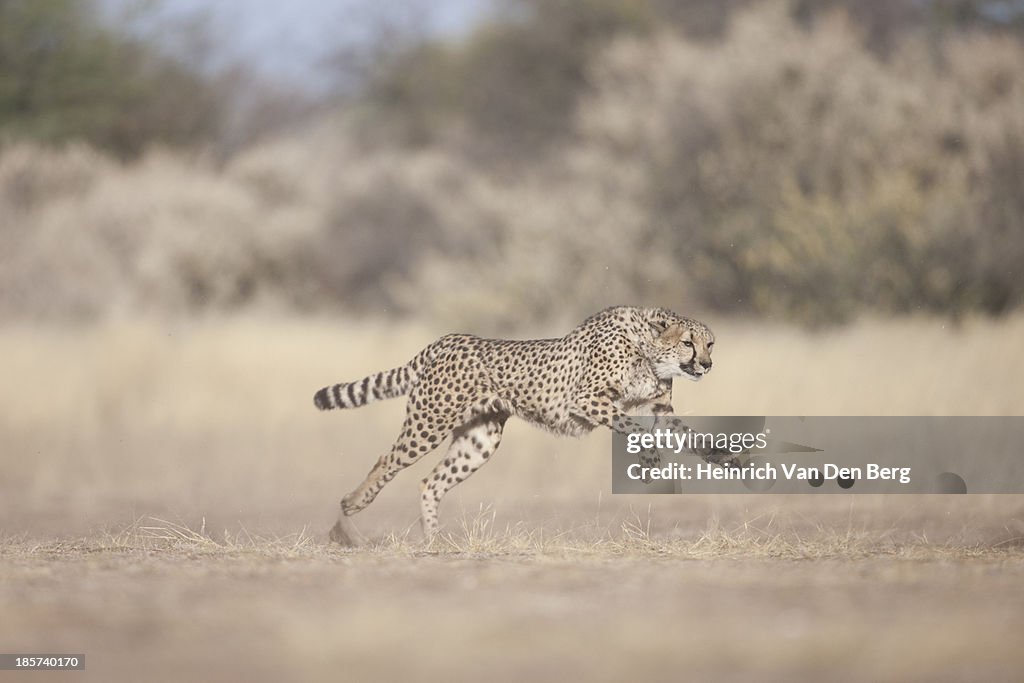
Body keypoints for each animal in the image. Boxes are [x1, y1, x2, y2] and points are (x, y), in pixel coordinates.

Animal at [311, 305, 712, 544]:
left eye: (710, 344)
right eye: (688, 343)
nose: (707, 365)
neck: (648, 351)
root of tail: (448, 339)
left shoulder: (659, 408)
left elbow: (691, 436)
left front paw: (722, 458)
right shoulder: (586, 399)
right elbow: (633, 427)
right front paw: (650, 462)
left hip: (479, 441)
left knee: (431, 481)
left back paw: (433, 539)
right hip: (429, 422)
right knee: (387, 461)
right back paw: (352, 506)